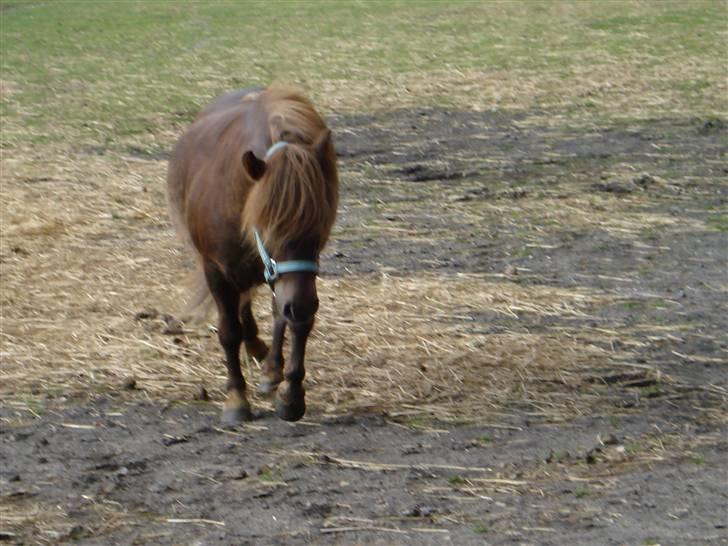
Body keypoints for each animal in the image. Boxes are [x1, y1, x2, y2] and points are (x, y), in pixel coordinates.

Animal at [169, 87, 340, 422]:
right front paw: (236, 398)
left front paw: (291, 394)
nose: (301, 305)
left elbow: (293, 321)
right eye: (268, 227)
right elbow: (229, 331)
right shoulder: (216, 269)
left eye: (320, 227)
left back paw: (271, 367)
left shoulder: (296, 283)